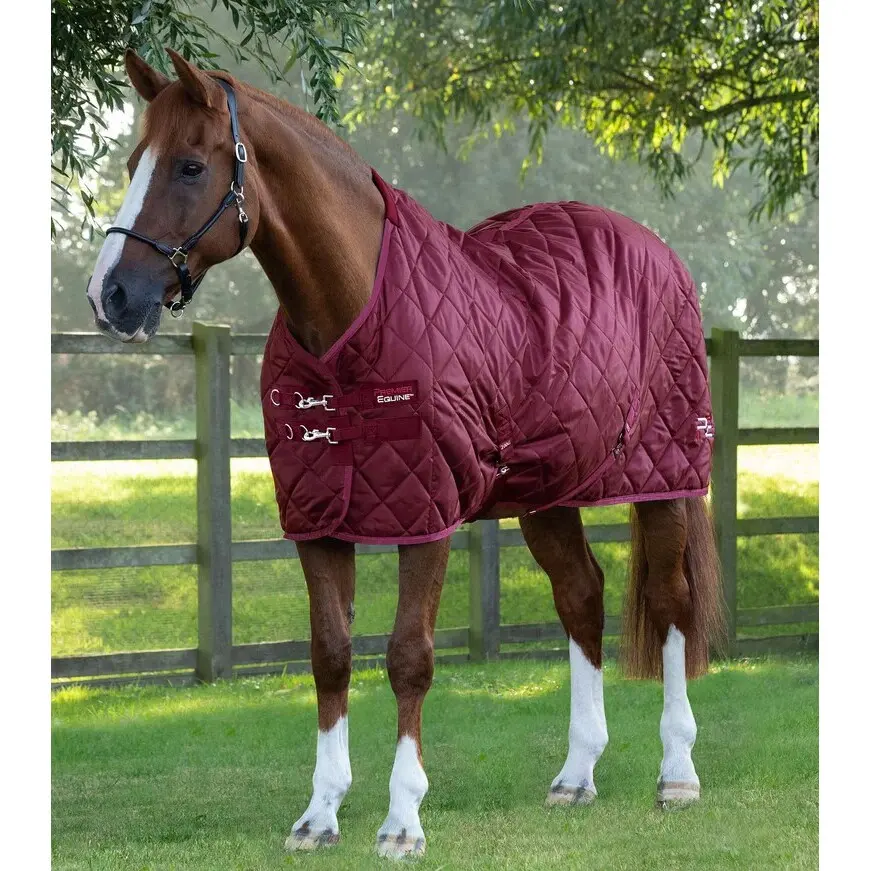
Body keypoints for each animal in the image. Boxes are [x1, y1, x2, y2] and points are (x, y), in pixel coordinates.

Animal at [86, 49, 724, 859]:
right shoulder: (320, 517)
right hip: (547, 491)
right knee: (581, 596)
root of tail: (658, 251)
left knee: (671, 605)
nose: (109, 295)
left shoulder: (426, 513)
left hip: (664, 476)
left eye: (191, 167)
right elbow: (329, 652)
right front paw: (319, 815)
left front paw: (401, 821)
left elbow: (408, 657)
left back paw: (677, 773)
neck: (352, 316)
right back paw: (576, 775)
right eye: (134, 162)